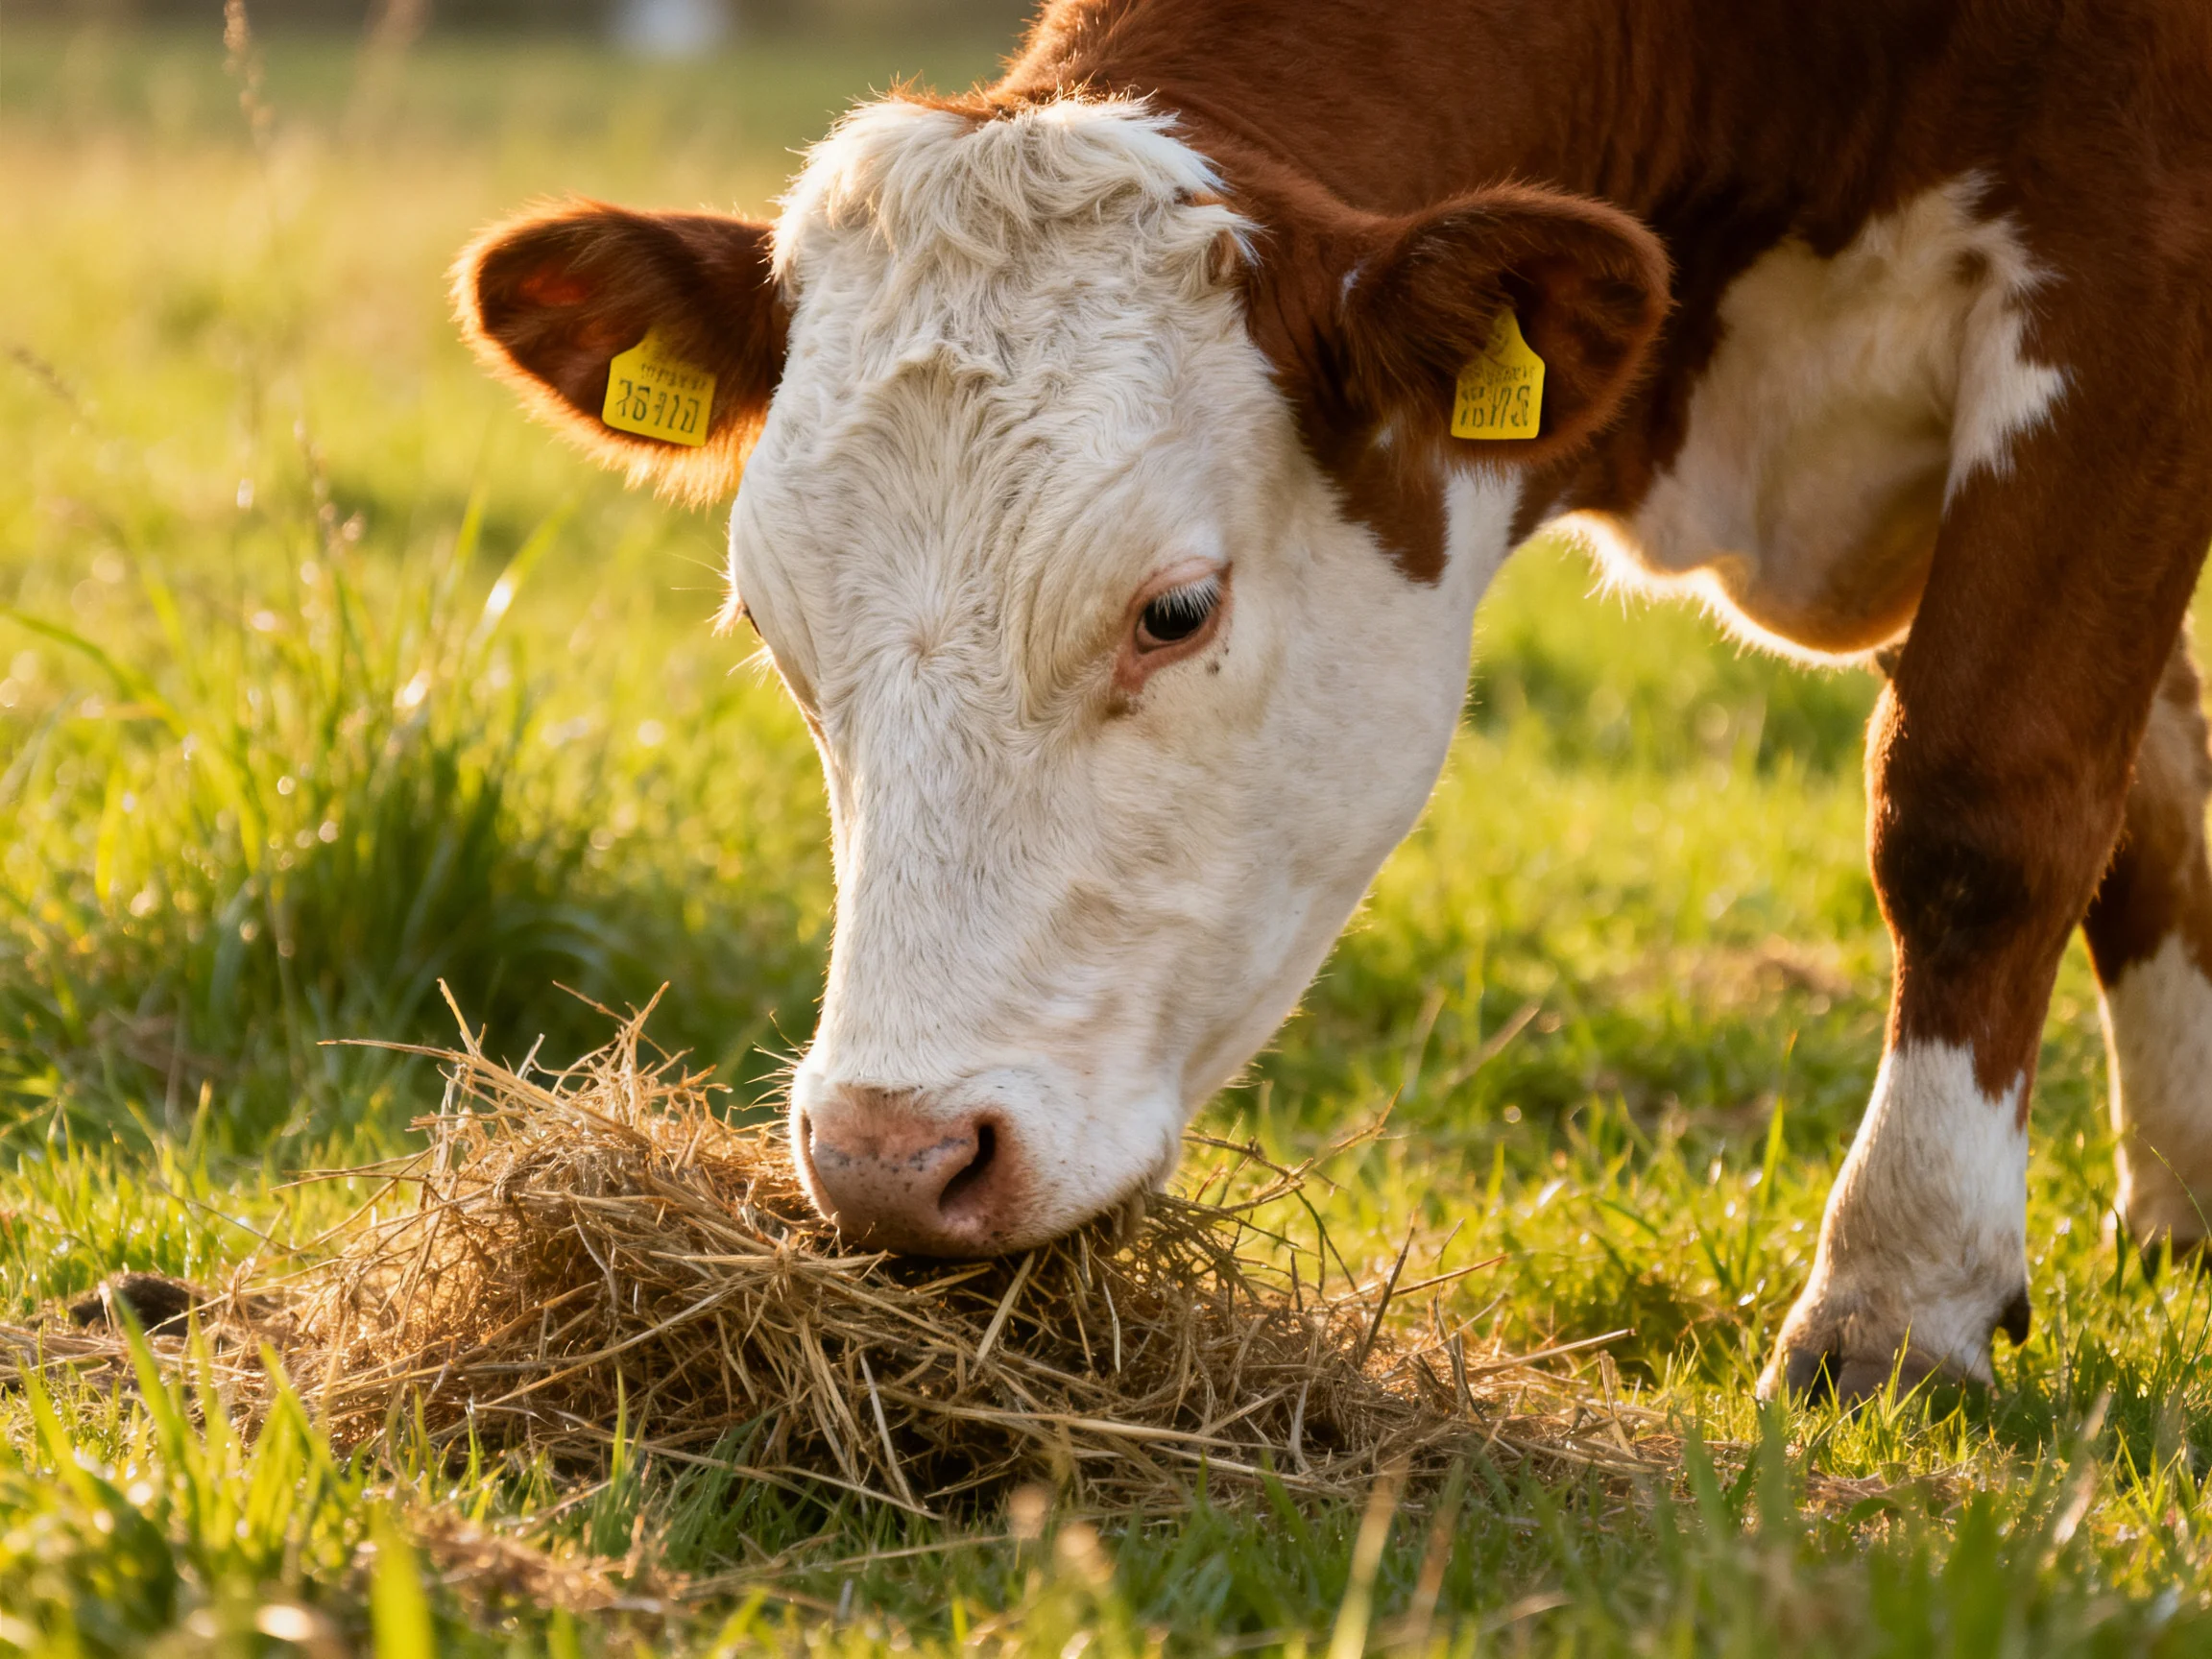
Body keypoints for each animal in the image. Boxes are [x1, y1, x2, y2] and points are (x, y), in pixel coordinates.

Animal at [453, 0, 2212, 1402]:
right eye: (773, 625)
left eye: (1174, 612)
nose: (893, 1163)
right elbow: (2140, 792)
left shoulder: (2125, 295)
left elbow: (1982, 802)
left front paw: (1900, 1294)